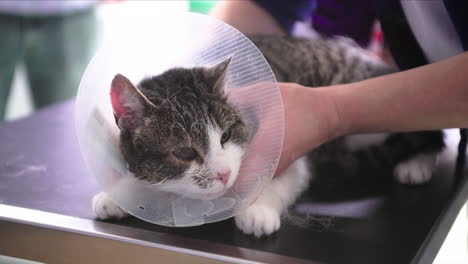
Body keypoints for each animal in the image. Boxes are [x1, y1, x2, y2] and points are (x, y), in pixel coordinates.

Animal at [92, 35, 446, 237]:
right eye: (184, 153)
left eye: (225, 136)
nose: (223, 173)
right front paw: (118, 194)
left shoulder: (289, 145)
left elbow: (283, 177)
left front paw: (258, 210)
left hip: (369, 111)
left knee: (424, 128)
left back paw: (417, 164)